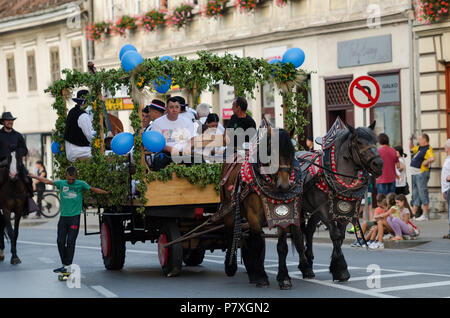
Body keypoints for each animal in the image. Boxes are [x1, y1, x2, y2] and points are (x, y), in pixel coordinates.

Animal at [221, 123, 308, 288]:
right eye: (270, 152)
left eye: (292, 152)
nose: (284, 185)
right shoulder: (253, 216)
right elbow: (258, 243)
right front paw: (261, 276)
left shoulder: (282, 217)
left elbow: (281, 246)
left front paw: (284, 278)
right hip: (228, 210)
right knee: (231, 234)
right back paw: (231, 265)